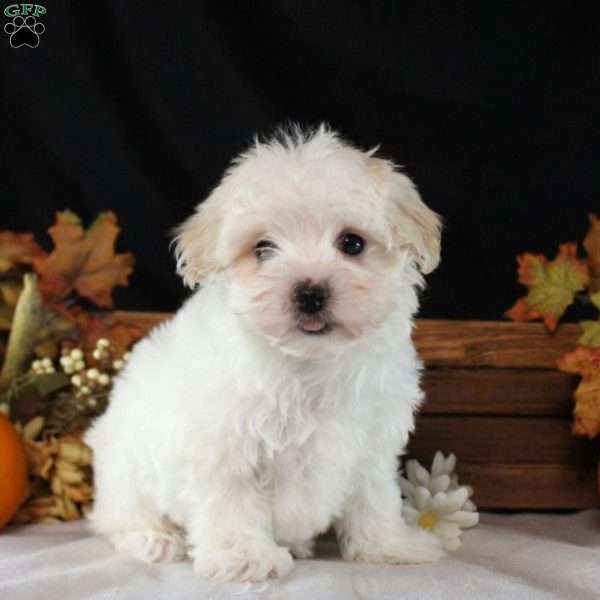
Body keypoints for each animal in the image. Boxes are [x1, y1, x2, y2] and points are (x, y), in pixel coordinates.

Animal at [88, 125, 446, 580]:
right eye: (262, 249)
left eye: (351, 243)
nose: (310, 293)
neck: (309, 363)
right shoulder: (224, 446)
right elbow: (232, 502)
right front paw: (244, 557)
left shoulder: (371, 443)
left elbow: (374, 499)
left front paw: (388, 545)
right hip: (125, 470)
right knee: (120, 518)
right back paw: (154, 539)